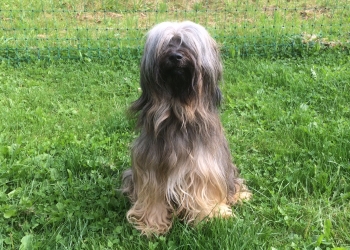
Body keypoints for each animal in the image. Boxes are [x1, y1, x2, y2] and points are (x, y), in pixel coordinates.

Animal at [121, 20, 250, 235]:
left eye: (186, 44)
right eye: (166, 44)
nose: (175, 56)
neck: (178, 114)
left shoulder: (204, 164)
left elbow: (204, 189)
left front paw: (212, 217)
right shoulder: (150, 165)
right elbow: (153, 195)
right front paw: (151, 224)